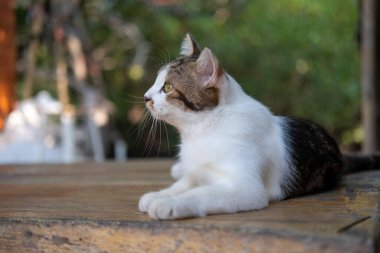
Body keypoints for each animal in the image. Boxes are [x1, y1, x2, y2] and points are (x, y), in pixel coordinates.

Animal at [139, 33, 380, 219]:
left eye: (168, 87)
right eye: (156, 81)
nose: (145, 97)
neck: (202, 130)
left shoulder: (247, 190)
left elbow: (201, 194)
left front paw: (169, 204)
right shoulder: (195, 173)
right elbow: (182, 185)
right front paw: (159, 194)